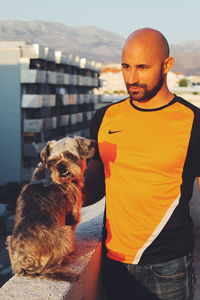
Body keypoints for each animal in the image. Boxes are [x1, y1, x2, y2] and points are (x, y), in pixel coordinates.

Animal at [7, 136, 96, 282]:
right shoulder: (72, 215)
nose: (60, 166)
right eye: (53, 161)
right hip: (63, 232)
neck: (48, 174)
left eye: (70, 156)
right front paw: (71, 250)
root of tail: (24, 260)